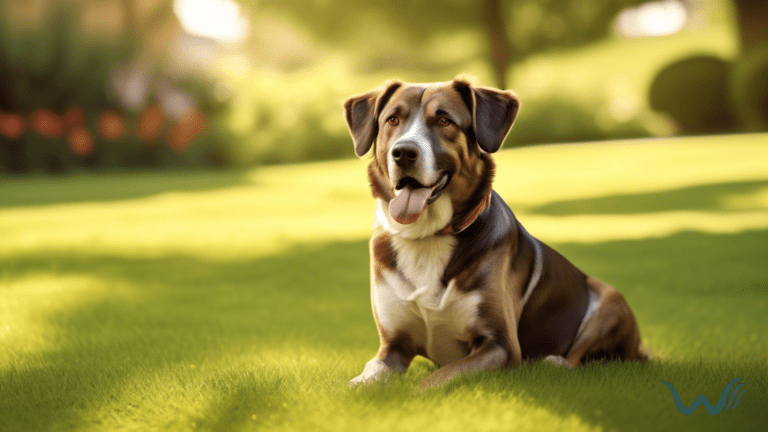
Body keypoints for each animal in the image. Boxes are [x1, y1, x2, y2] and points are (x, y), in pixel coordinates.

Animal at [344, 77, 648, 388]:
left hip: (611, 300)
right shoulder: (392, 345)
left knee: (576, 357)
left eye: (444, 120)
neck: (427, 236)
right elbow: (366, 377)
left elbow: (432, 381)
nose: (404, 152)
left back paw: (554, 362)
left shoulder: (499, 344)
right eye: (393, 119)